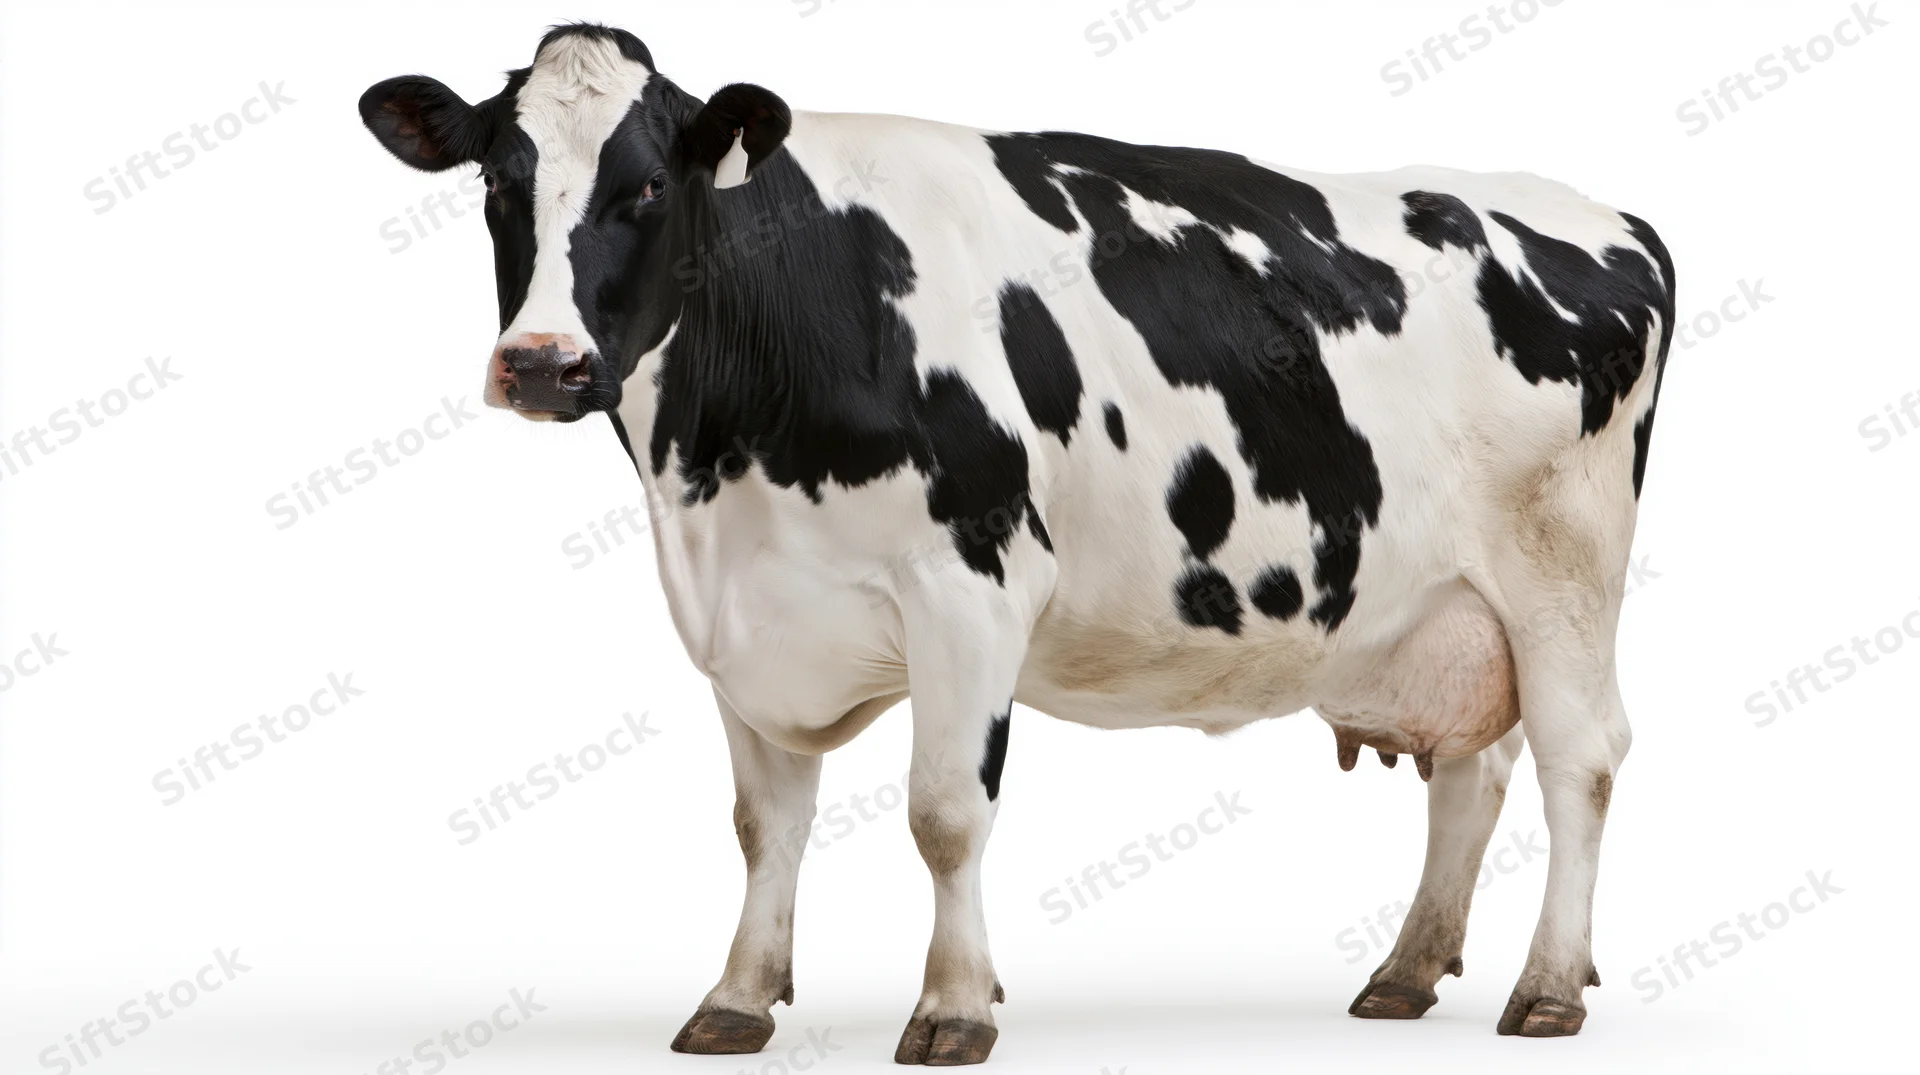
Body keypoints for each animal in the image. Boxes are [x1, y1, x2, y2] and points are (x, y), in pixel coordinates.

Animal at [361, 22, 1674, 1064]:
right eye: (498, 183)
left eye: (643, 187)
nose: (542, 364)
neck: (722, 467)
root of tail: (1606, 216)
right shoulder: (744, 614)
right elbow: (763, 823)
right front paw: (737, 996)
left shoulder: (970, 585)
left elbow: (945, 811)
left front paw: (952, 1007)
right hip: (1443, 606)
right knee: (1474, 769)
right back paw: (1404, 972)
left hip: (1563, 573)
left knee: (1581, 758)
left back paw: (1547, 987)